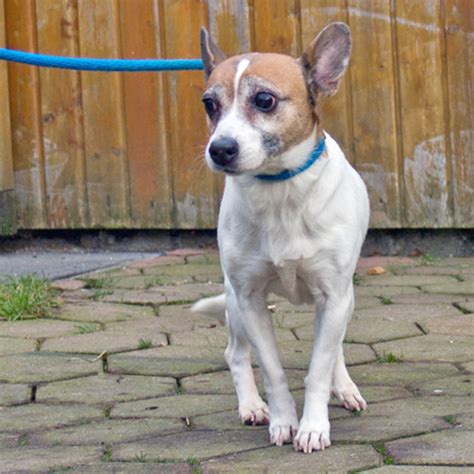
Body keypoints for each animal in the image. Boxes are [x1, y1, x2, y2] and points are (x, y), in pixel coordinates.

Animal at [191, 23, 368, 456]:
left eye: (264, 100)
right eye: (209, 104)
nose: (219, 149)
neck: (280, 191)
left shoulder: (334, 296)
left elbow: (319, 367)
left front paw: (314, 426)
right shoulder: (251, 300)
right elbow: (272, 371)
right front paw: (285, 420)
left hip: (346, 299)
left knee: (335, 349)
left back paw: (344, 387)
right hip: (234, 304)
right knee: (235, 354)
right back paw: (252, 406)